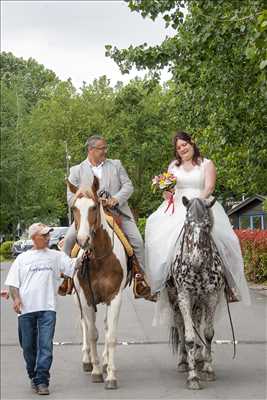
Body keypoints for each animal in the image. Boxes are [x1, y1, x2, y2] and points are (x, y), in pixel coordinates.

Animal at [68, 177, 128, 390]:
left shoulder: (115, 297)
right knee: (85, 326)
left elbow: (110, 335)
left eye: (94, 207)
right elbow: (93, 333)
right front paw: (95, 371)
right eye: (74, 208)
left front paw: (110, 374)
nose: (83, 239)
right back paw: (88, 360)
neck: (99, 257)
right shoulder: (86, 298)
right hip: (78, 300)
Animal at [169, 197, 225, 390]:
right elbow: (188, 337)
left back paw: (198, 358)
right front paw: (193, 377)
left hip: (199, 303)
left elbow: (208, 333)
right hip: (176, 302)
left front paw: (208, 369)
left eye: (207, 225)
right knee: (180, 326)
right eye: (187, 224)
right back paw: (183, 361)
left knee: (197, 322)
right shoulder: (184, 297)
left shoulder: (212, 297)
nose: (196, 260)